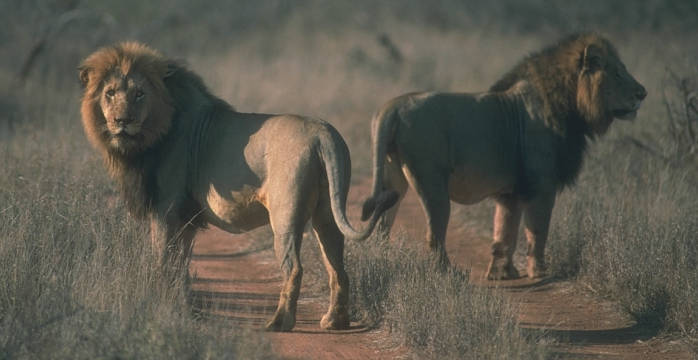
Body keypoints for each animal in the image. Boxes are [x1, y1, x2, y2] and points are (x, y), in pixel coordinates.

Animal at [77, 42, 396, 332]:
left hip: (285, 214)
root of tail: (322, 133)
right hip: (326, 212)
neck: (147, 139)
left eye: (139, 94)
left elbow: (163, 261)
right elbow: (181, 263)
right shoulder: (186, 218)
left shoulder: (166, 210)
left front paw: (162, 303)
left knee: (294, 267)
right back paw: (335, 322)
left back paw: (279, 322)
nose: (122, 120)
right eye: (110, 93)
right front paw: (185, 305)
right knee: (337, 265)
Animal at [362, 32, 644, 280]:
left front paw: (502, 273)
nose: (644, 93)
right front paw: (539, 272)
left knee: (383, 226)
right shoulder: (541, 184)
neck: (569, 105)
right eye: (617, 73)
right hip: (432, 183)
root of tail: (392, 107)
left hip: (393, 177)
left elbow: (504, 231)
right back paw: (448, 274)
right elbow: (537, 229)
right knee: (434, 234)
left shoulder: (512, 192)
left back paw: (384, 259)